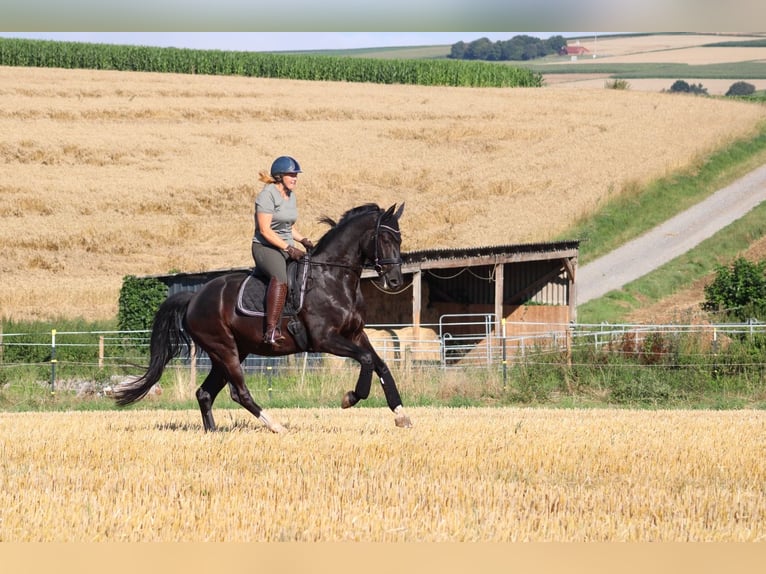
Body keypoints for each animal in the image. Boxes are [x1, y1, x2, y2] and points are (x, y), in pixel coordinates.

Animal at [112, 205, 414, 434]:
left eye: (400, 240)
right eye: (385, 240)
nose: (395, 281)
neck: (333, 277)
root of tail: (194, 297)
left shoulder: (355, 335)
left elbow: (380, 364)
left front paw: (401, 414)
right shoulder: (326, 339)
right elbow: (366, 360)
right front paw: (350, 398)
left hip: (232, 352)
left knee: (205, 392)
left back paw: (213, 433)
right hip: (225, 349)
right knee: (238, 392)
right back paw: (276, 426)